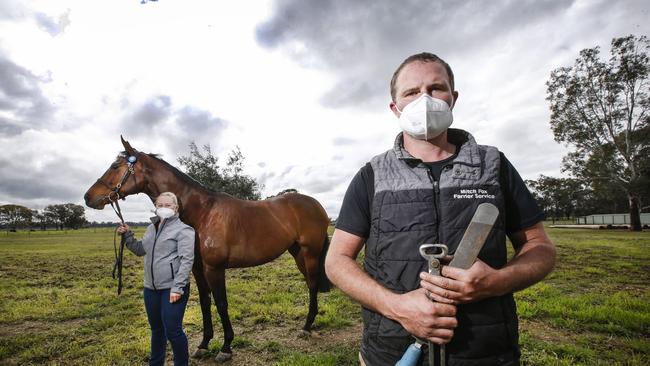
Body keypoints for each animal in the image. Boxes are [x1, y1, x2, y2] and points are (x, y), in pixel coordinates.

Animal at [83, 137, 330, 360]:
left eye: (115, 166)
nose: (88, 197)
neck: (202, 213)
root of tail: (316, 204)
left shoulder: (214, 268)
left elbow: (221, 304)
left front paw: (226, 347)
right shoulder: (196, 267)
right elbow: (204, 303)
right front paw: (203, 345)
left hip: (310, 253)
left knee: (313, 284)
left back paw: (306, 327)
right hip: (297, 252)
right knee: (310, 283)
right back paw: (309, 323)